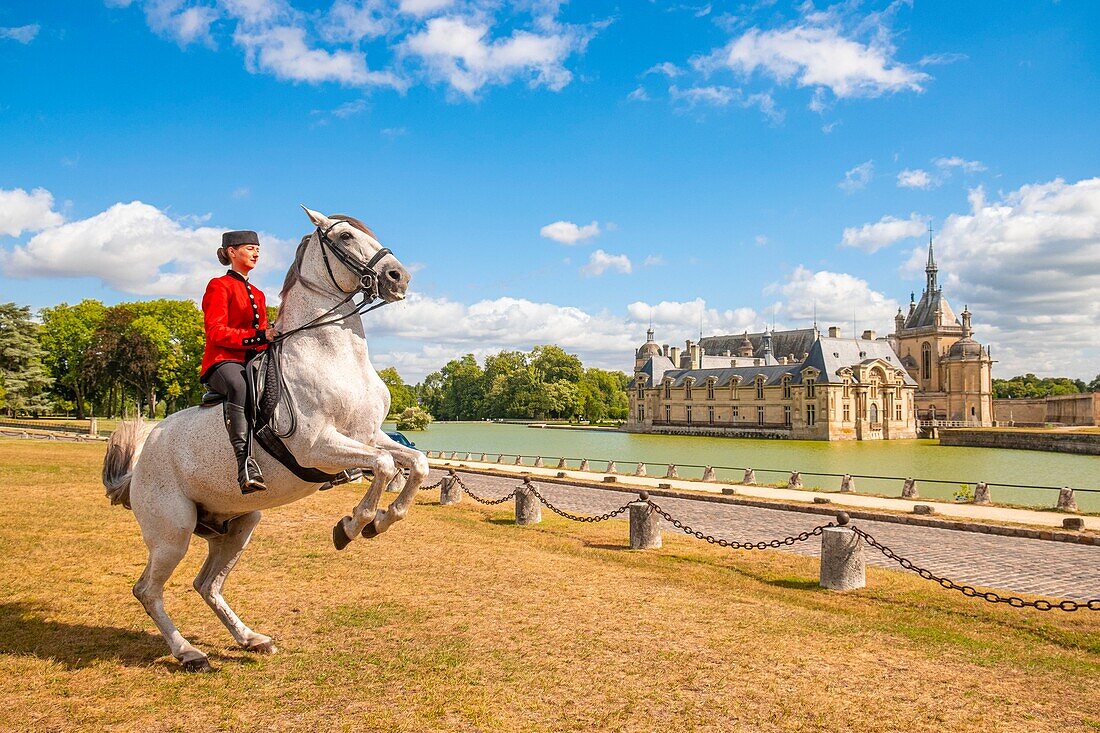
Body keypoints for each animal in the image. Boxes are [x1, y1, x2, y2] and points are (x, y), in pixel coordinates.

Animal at [102, 203, 429, 669]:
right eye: (345, 237)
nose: (399, 277)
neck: (333, 355)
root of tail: (139, 464)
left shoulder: (367, 436)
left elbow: (414, 463)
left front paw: (382, 520)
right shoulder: (319, 447)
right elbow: (384, 467)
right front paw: (352, 525)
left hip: (239, 523)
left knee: (207, 584)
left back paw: (250, 639)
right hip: (172, 533)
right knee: (148, 590)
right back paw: (189, 653)